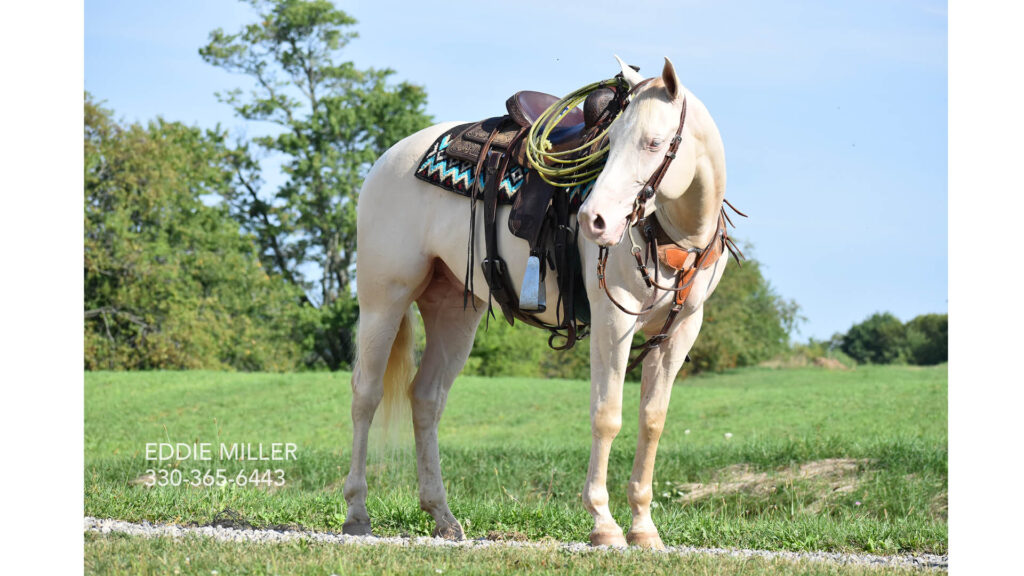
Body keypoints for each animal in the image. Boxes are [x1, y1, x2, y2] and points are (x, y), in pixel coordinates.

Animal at [342, 57, 729, 545]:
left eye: (654, 142)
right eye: (610, 141)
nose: (594, 220)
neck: (670, 230)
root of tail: (389, 159)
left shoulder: (681, 329)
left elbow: (652, 421)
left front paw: (644, 528)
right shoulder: (613, 318)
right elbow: (607, 414)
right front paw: (603, 523)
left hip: (453, 309)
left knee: (427, 398)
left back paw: (442, 515)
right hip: (384, 298)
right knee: (366, 394)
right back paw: (357, 511)